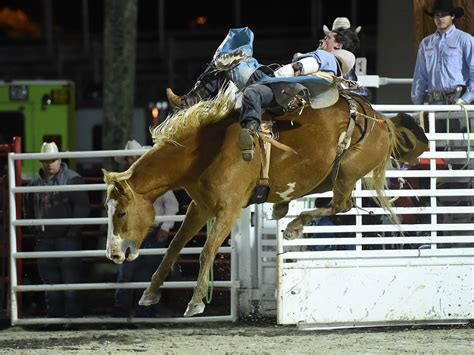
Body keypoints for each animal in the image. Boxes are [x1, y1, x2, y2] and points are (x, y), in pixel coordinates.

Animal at [103, 91, 430, 318]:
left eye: (121, 212)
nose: (114, 254)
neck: (205, 150)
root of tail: (381, 121)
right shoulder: (201, 206)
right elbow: (175, 246)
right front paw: (150, 294)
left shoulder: (229, 209)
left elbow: (207, 250)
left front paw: (195, 303)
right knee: (337, 200)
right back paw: (284, 210)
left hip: (349, 169)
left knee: (342, 204)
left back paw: (294, 225)